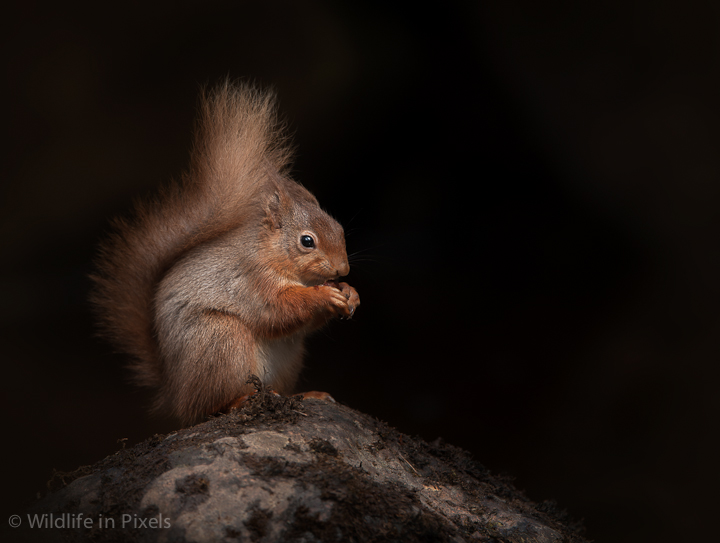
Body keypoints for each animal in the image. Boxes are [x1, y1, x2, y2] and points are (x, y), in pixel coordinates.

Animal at [90, 83, 360, 428]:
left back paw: (305, 394)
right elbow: (279, 309)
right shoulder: (252, 279)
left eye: (339, 228)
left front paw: (350, 293)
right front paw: (325, 295)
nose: (342, 269)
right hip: (221, 342)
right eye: (307, 241)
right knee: (207, 407)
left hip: (286, 359)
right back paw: (238, 401)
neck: (272, 254)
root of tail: (175, 392)